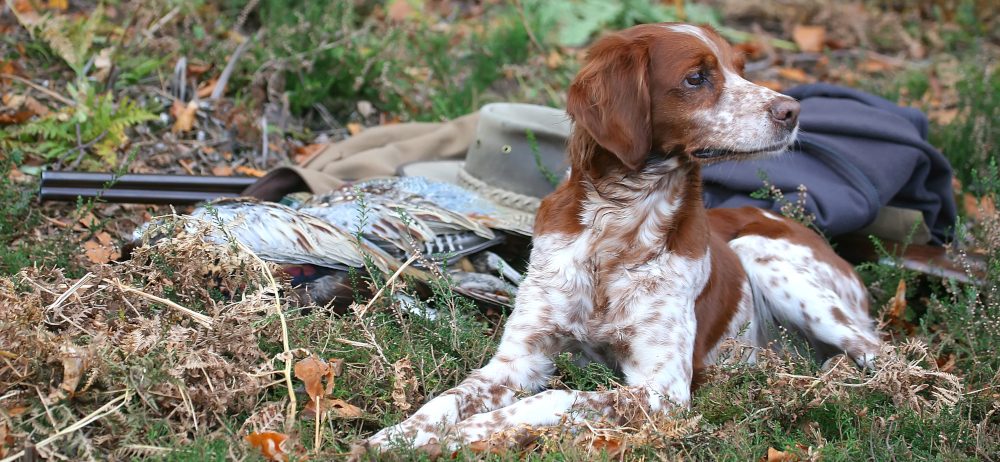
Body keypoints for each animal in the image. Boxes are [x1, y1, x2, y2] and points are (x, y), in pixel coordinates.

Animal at [361, 23, 881, 452]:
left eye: (741, 69)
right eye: (697, 77)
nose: (792, 110)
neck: (619, 229)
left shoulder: (663, 389)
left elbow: (554, 398)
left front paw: (463, 435)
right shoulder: (518, 358)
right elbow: (449, 397)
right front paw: (400, 434)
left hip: (765, 256)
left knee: (881, 353)